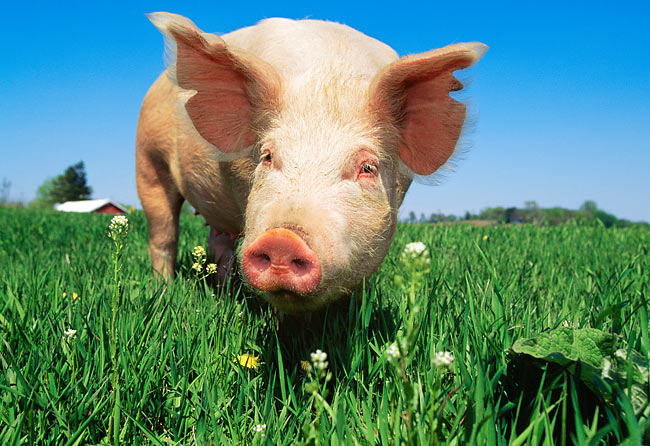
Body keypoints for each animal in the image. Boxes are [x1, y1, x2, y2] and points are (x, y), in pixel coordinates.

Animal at [136, 12, 486, 314]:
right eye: (267, 156)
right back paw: (164, 290)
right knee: (163, 234)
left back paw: (222, 293)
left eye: (367, 167)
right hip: (148, 161)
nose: (283, 239)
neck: (330, 79)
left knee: (218, 245)